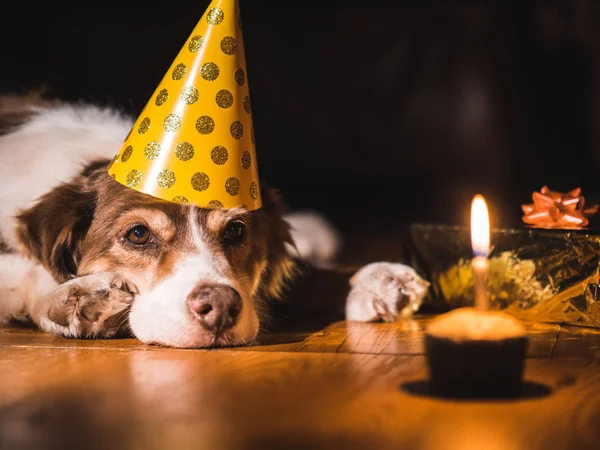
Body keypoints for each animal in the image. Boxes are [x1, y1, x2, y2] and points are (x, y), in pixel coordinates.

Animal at [0, 93, 428, 348]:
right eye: (138, 234)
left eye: (236, 230)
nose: (220, 306)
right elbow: (26, 271)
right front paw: (80, 296)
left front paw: (377, 279)